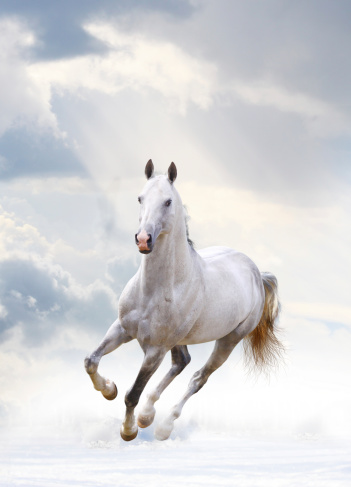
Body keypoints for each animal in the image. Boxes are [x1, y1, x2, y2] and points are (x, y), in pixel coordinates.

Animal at [83, 161, 284, 442]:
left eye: (168, 201)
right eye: (140, 198)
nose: (143, 239)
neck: (155, 290)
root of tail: (257, 273)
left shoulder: (155, 350)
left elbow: (133, 393)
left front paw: (129, 430)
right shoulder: (122, 329)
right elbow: (91, 361)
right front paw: (109, 389)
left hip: (228, 340)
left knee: (198, 378)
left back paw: (163, 426)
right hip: (180, 339)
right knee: (182, 362)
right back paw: (148, 415)